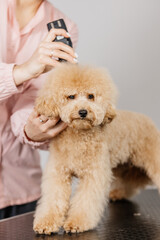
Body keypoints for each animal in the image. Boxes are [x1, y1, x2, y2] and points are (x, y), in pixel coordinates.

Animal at [32, 62, 160, 233]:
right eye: (71, 96)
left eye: (91, 96)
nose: (83, 112)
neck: (79, 136)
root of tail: (147, 119)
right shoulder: (58, 172)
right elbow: (54, 199)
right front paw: (46, 222)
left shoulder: (93, 174)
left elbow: (86, 201)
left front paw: (77, 223)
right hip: (122, 164)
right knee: (128, 180)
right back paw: (119, 193)